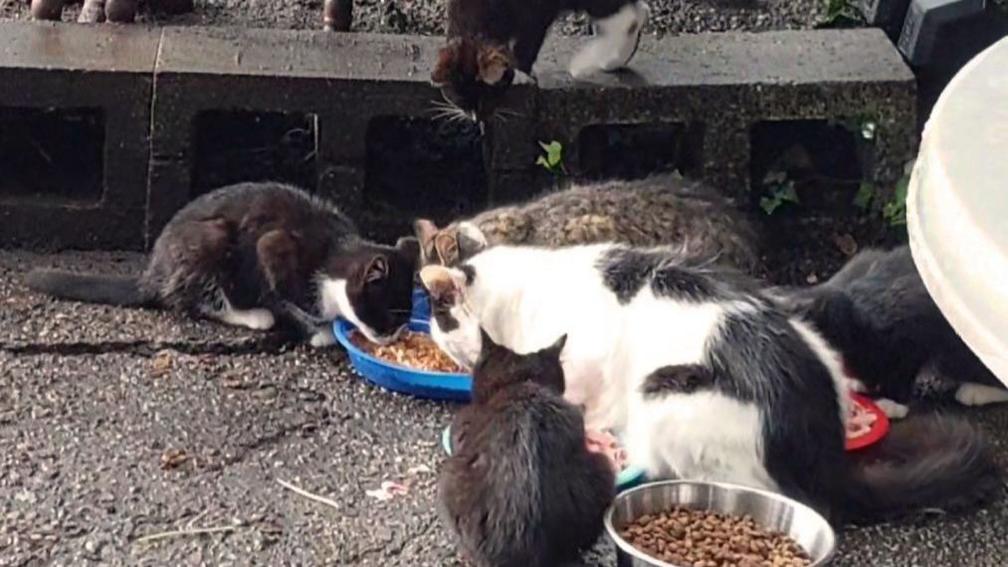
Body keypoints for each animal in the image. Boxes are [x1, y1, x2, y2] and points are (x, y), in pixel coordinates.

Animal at [24, 180, 417, 345]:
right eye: (387, 314)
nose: (394, 337)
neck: (335, 251)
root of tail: (152, 272)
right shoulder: (270, 252)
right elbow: (288, 299)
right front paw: (321, 332)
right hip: (209, 242)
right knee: (193, 300)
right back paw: (253, 315)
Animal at [429, 0, 649, 120]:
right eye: (460, 100)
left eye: (487, 97)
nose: (477, 119)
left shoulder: (535, 14)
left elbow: (527, 44)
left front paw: (524, 73)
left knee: (632, 17)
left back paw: (599, 60)